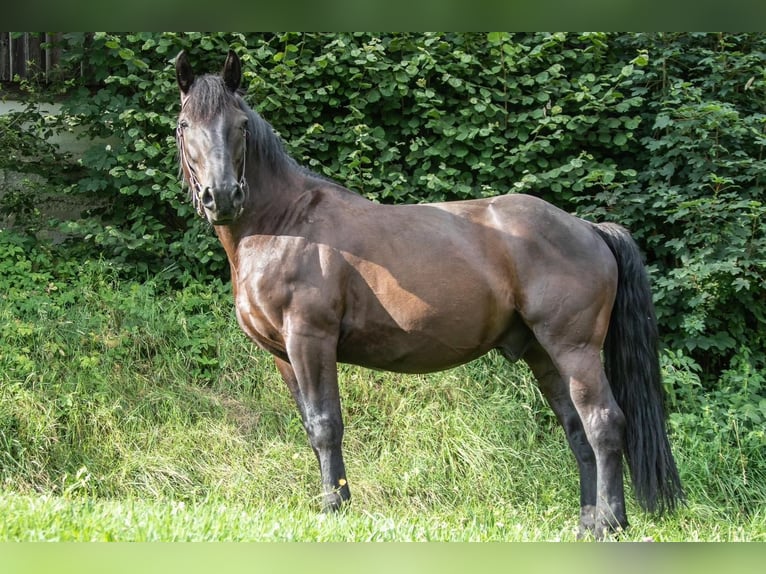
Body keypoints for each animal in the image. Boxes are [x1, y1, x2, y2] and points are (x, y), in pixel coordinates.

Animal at [172, 49, 684, 540]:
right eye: (183, 125)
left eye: (240, 125)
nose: (222, 196)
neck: (283, 224)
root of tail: (588, 228)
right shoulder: (283, 354)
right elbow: (309, 425)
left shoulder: (310, 340)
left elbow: (325, 426)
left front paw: (336, 509)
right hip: (543, 352)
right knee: (577, 431)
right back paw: (586, 523)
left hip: (574, 349)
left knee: (603, 424)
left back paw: (610, 523)